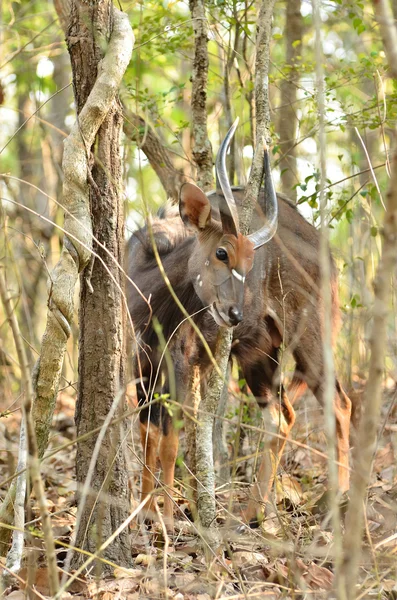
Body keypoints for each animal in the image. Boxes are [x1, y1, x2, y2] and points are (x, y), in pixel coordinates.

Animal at [126, 118, 350, 528]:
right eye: (222, 252)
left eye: (250, 261)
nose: (235, 314)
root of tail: (327, 257)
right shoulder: (143, 361)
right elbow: (149, 431)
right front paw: (145, 512)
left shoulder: (181, 362)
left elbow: (171, 440)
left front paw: (166, 518)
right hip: (257, 355)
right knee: (281, 417)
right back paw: (253, 513)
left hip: (309, 342)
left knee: (339, 404)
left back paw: (335, 502)